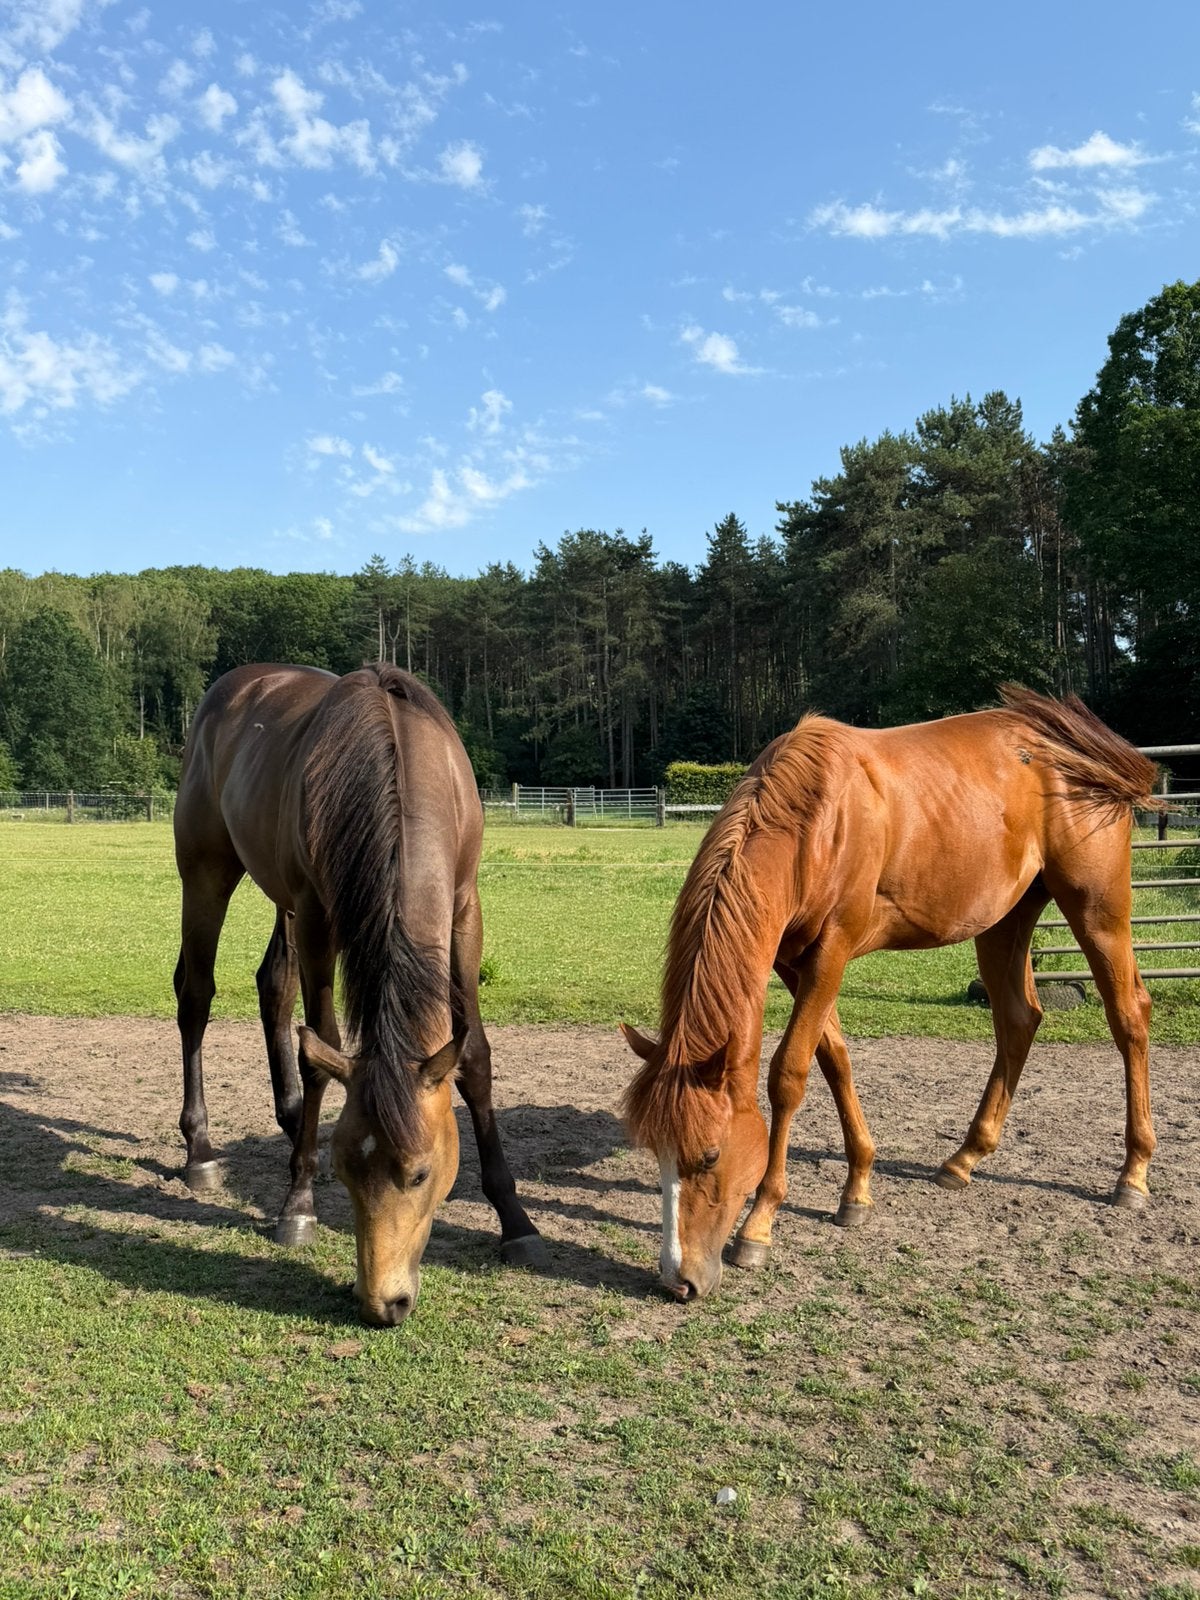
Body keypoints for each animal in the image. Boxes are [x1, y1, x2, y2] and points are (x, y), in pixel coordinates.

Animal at [173, 662, 544, 1324]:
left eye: (421, 1174)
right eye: (351, 1173)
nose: (382, 1304)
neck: (398, 762)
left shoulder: (465, 910)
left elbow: (473, 1056)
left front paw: (516, 1221)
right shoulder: (321, 919)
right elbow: (321, 1049)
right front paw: (297, 1204)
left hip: (280, 898)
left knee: (273, 986)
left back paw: (293, 1126)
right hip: (207, 871)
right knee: (196, 996)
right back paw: (203, 1151)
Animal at [621, 686, 1160, 1303]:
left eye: (709, 1155)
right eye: (654, 1152)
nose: (678, 1280)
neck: (814, 821)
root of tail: (1071, 744)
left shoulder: (831, 953)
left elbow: (789, 1074)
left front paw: (760, 1223)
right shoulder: (793, 962)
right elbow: (834, 1059)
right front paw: (857, 1188)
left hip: (1097, 910)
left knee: (1128, 1017)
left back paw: (1133, 1174)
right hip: (1004, 920)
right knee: (1019, 1020)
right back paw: (964, 1159)